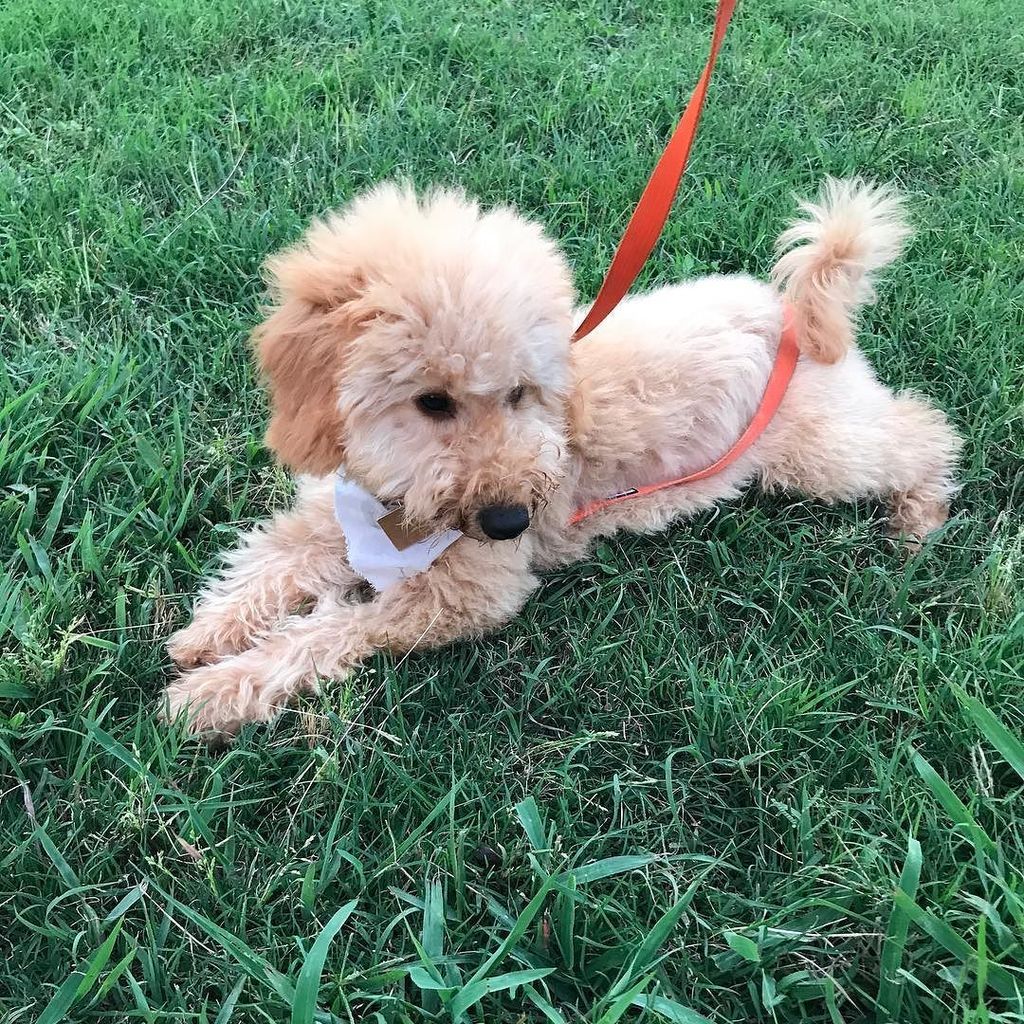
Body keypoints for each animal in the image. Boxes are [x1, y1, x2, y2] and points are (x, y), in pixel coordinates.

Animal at [164, 178, 962, 735]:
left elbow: (331, 629)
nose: (511, 522)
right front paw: (207, 637)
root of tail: (792, 313)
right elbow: (267, 564)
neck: (398, 508)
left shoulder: (468, 594)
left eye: (520, 392)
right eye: (432, 401)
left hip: (820, 453)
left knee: (924, 431)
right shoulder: (326, 516)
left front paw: (213, 692)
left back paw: (918, 519)